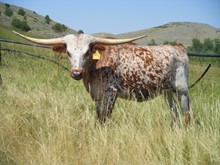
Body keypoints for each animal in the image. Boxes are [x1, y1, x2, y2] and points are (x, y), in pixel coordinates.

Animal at [13, 31, 191, 125]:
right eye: (68, 53)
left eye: (87, 51)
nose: (76, 73)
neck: (96, 67)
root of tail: (178, 47)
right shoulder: (97, 95)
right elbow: (99, 116)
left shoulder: (111, 92)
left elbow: (105, 116)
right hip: (167, 92)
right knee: (174, 112)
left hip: (182, 89)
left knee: (186, 112)